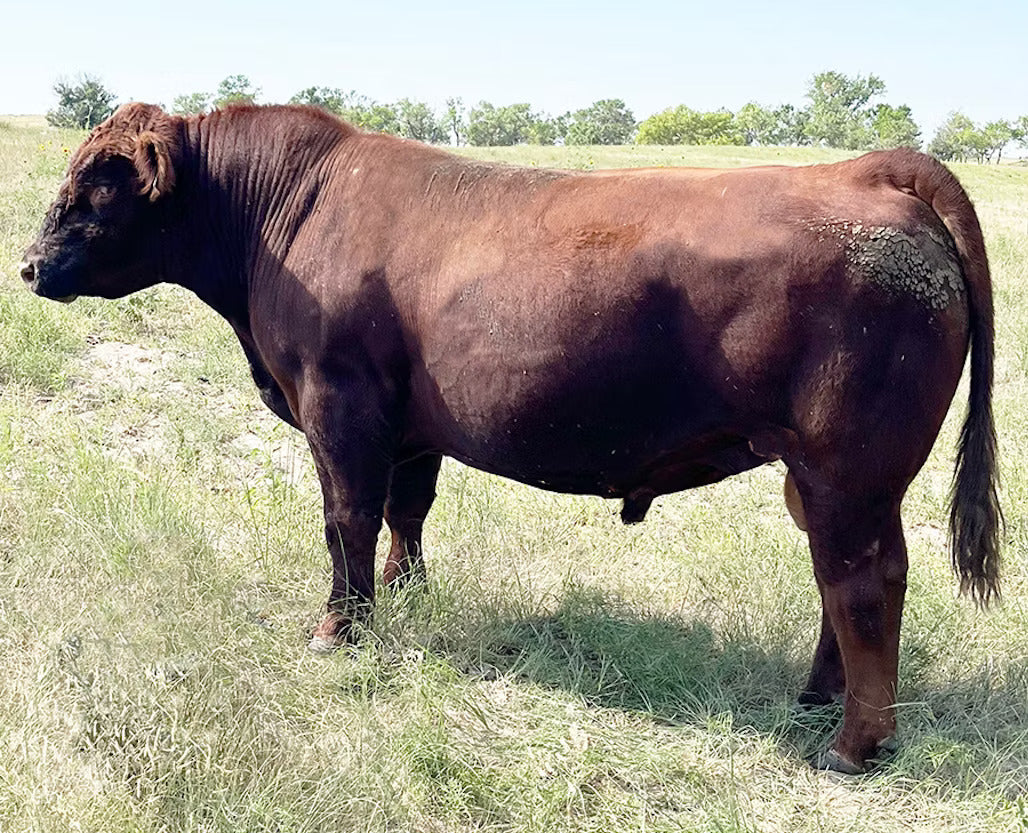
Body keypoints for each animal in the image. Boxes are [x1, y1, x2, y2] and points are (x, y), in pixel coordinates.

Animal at [20, 102, 1001, 774]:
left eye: (95, 188)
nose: (28, 266)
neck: (282, 214)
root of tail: (872, 171)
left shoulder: (338, 407)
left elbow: (347, 519)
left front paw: (340, 626)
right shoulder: (409, 428)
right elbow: (407, 513)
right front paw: (404, 596)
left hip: (851, 469)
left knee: (866, 580)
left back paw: (853, 743)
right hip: (824, 475)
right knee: (836, 578)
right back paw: (814, 697)